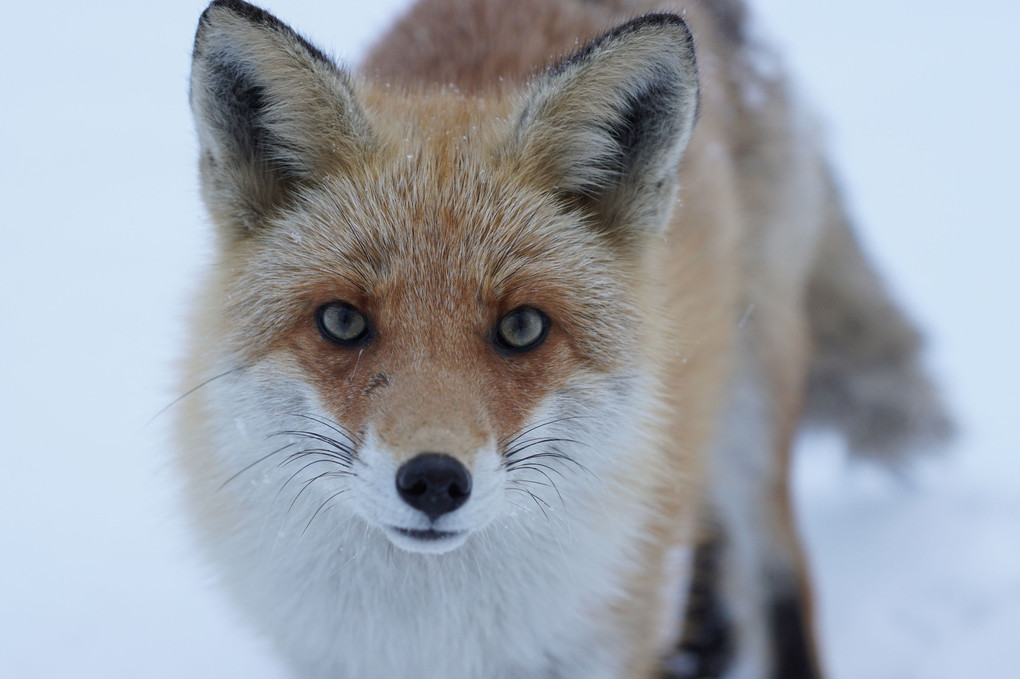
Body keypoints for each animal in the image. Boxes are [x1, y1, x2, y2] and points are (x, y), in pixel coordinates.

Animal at [175, 1, 946, 676]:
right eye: (341, 321)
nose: (434, 481)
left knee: (779, 574)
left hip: (751, 417)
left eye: (521, 327)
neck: (437, 638)